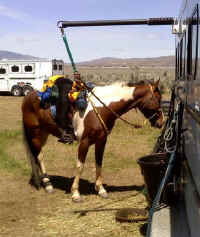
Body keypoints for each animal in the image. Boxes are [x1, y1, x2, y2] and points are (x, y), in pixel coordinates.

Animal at [22, 78, 164, 202]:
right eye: (158, 99)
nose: (161, 122)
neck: (102, 108)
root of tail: (28, 96)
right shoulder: (84, 142)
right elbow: (80, 166)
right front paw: (75, 193)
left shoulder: (101, 141)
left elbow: (99, 163)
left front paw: (101, 189)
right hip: (35, 133)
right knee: (39, 156)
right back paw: (48, 185)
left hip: (44, 133)